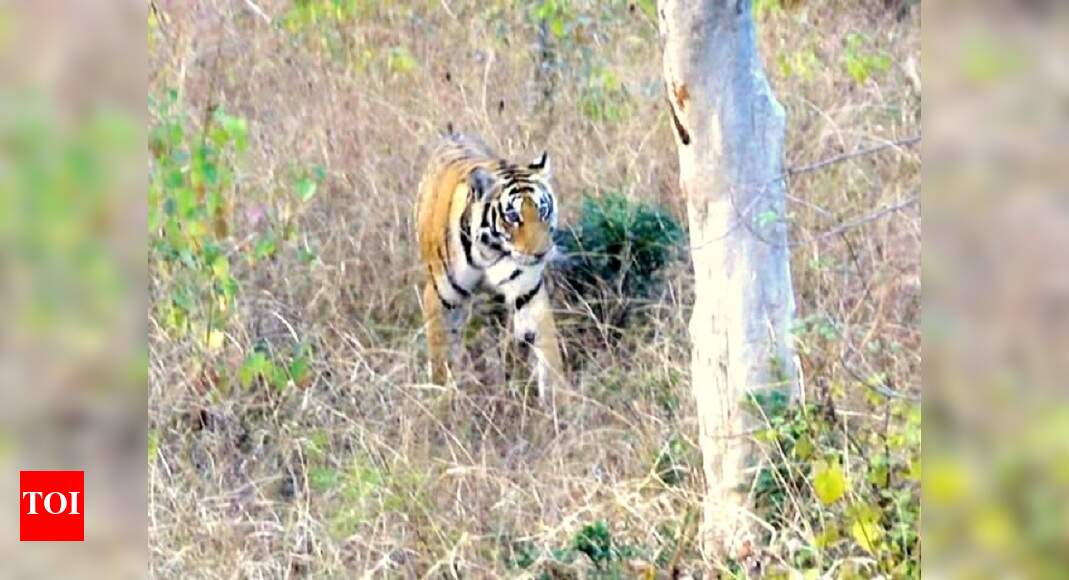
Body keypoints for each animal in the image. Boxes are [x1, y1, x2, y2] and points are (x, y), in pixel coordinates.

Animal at [415, 133, 564, 398]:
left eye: (544, 211)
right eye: (513, 216)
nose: (542, 253)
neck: (489, 251)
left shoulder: (528, 293)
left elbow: (548, 355)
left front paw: (561, 401)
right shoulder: (439, 298)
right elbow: (440, 356)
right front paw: (440, 397)